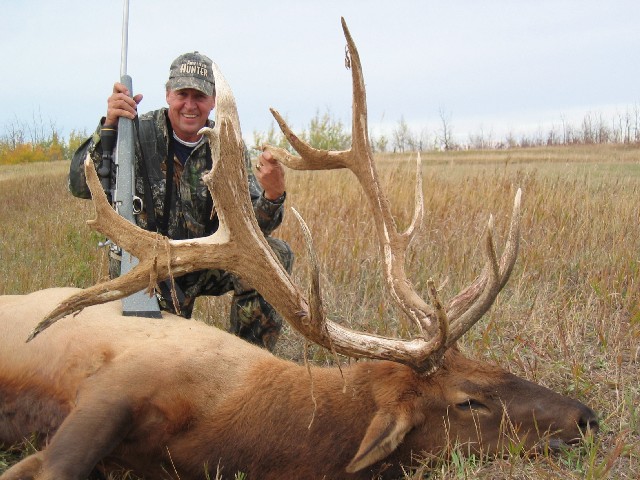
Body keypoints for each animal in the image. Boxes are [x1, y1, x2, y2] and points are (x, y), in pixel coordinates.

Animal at [2, 16, 596, 480]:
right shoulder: (118, 384)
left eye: (490, 363)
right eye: (468, 401)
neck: (234, 427)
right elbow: (53, 466)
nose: (586, 417)